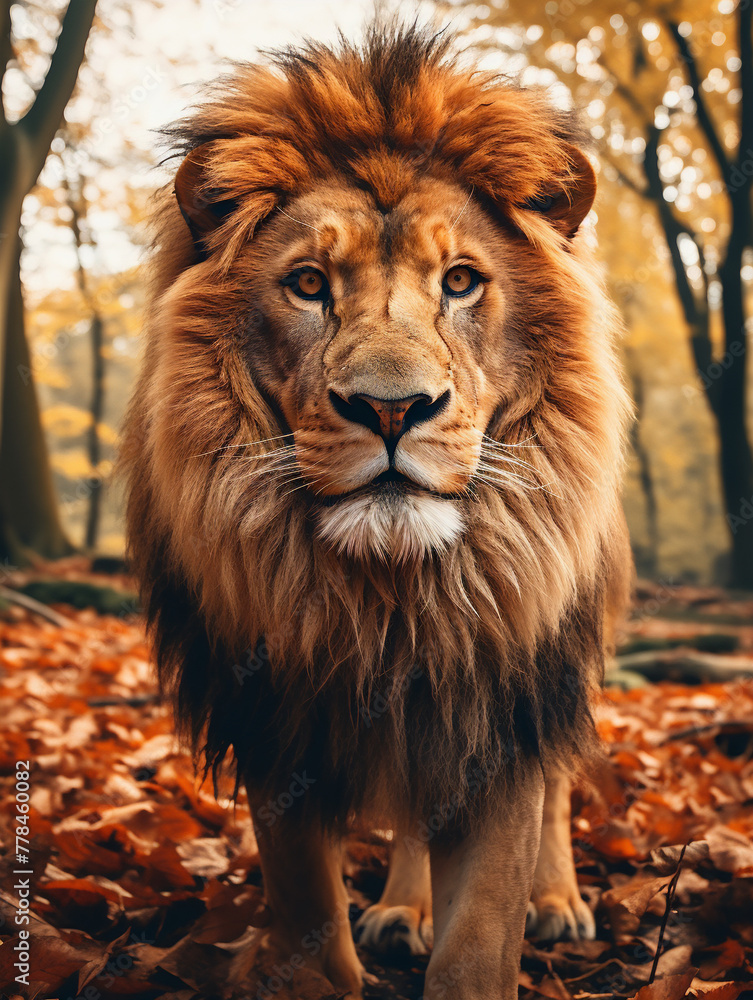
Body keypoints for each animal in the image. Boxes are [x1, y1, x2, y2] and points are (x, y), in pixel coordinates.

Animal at [122, 24, 633, 1000]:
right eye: (308, 284)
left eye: (461, 281)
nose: (392, 409)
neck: (392, 602)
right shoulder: (275, 726)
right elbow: (308, 920)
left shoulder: (500, 708)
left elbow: (478, 940)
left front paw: (499, 919)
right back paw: (401, 910)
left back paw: (557, 902)